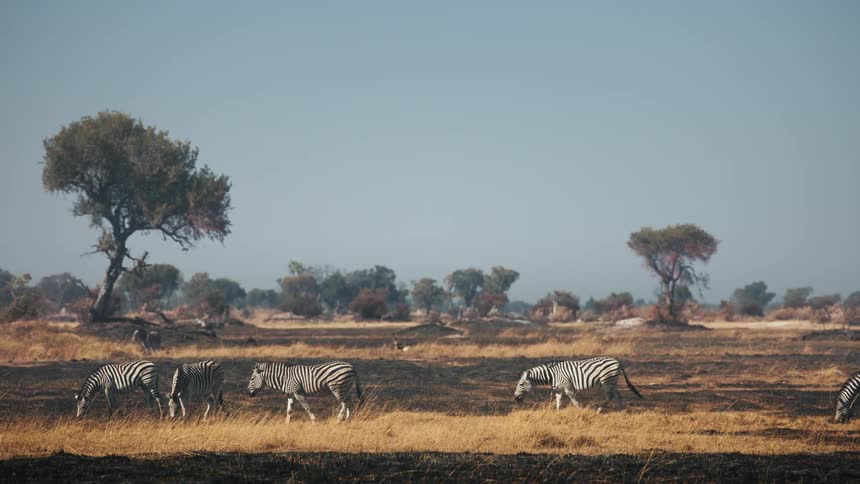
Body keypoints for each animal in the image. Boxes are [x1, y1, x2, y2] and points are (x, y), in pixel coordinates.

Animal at [514, 357, 642, 412]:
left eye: (521, 384)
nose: (515, 398)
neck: (553, 375)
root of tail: (617, 361)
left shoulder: (567, 386)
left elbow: (574, 400)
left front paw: (581, 411)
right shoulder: (559, 389)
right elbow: (558, 401)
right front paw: (558, 414)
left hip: (607, 381)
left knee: (609, 396)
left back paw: (599, 410)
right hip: (612, 382)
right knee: (617, 395)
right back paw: (621, 411)